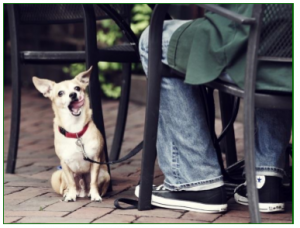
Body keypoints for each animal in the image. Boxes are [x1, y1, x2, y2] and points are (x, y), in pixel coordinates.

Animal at [32, 67, 110, 202]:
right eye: (60, 93)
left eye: (77, 88)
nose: (73, 94)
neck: (75, 130)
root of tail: (82, 193)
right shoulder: (64, 164)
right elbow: (71, 182)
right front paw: (71, 196)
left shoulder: (95, 160)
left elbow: (93, 182)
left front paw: (95, 195)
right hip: (58, 175)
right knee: (66, 186)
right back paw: (68, 193)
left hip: (106, 174)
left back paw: (92, 193)